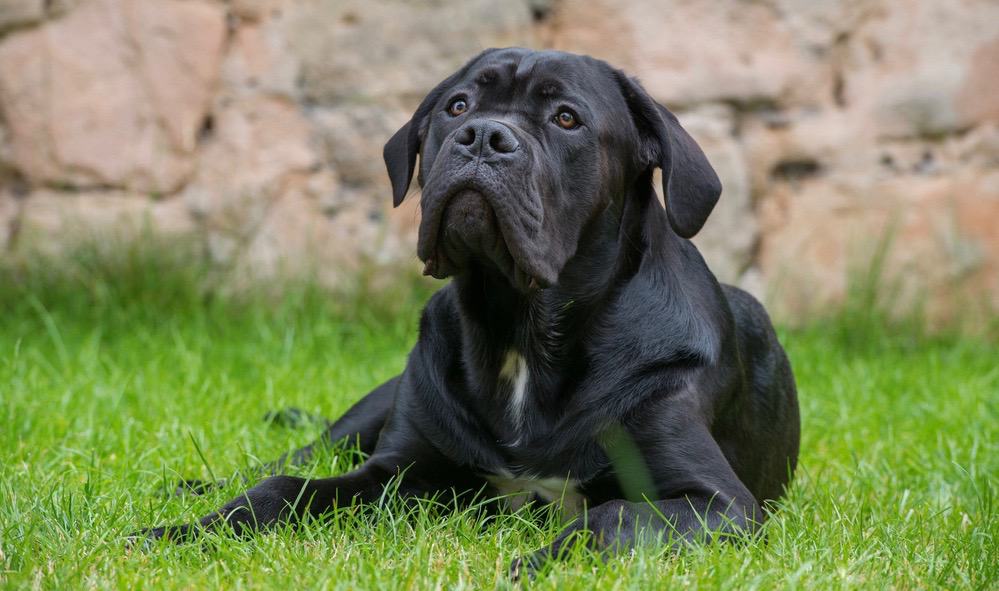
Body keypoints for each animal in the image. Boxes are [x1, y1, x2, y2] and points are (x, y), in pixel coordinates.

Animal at [137, 48, 800, 576]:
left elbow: (611, 518)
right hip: (372, 408)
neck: (520, 330)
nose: (484, 136)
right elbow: (285, 490)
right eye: (457, 106)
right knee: (293, 456)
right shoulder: (397, 471)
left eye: (567, 118)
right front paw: (183, 531)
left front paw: (534, 564)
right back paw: (189, 489)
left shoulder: (718, 503)